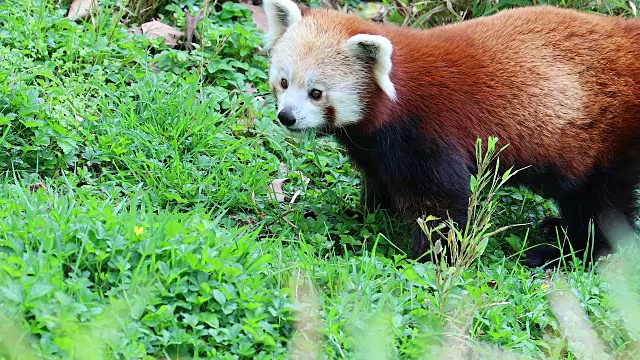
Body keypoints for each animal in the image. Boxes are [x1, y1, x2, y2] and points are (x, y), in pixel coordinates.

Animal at [262, 0, 640, 268]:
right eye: (284, 82)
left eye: (316, 93)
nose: (287, 117)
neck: (395, 97)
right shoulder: (375, 148)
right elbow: (380, 183)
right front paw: (364, 215)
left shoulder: (427, 134)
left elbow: (443, 203)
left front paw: (427, 256)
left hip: (607, 138)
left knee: (602, 205)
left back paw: (565, 252)